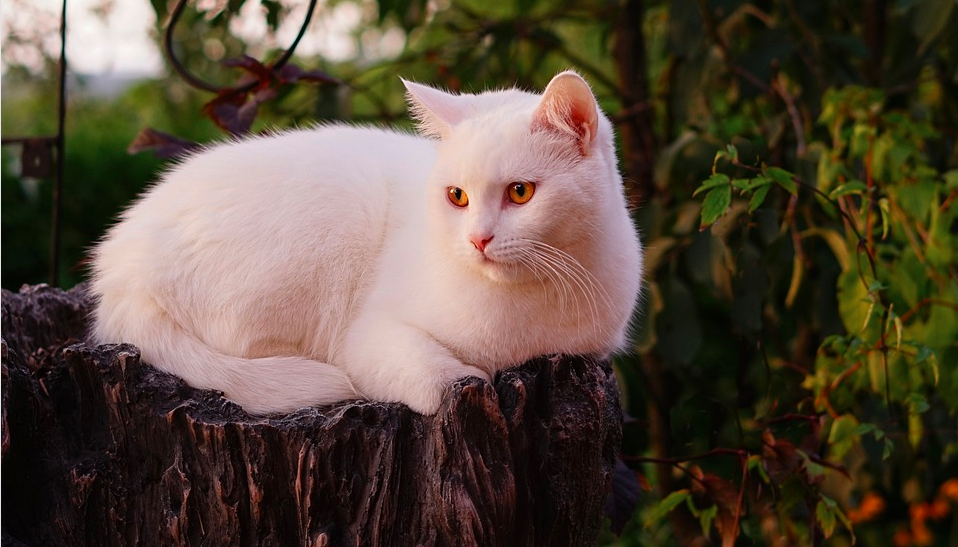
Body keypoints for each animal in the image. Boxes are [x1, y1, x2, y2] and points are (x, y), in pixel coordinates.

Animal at [90, 71, 644, 416]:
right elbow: (440, 378)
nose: (478, 238)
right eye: (457, 196)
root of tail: (117, 274)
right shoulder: (368, 338)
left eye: (520, 192)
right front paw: (468, 377)